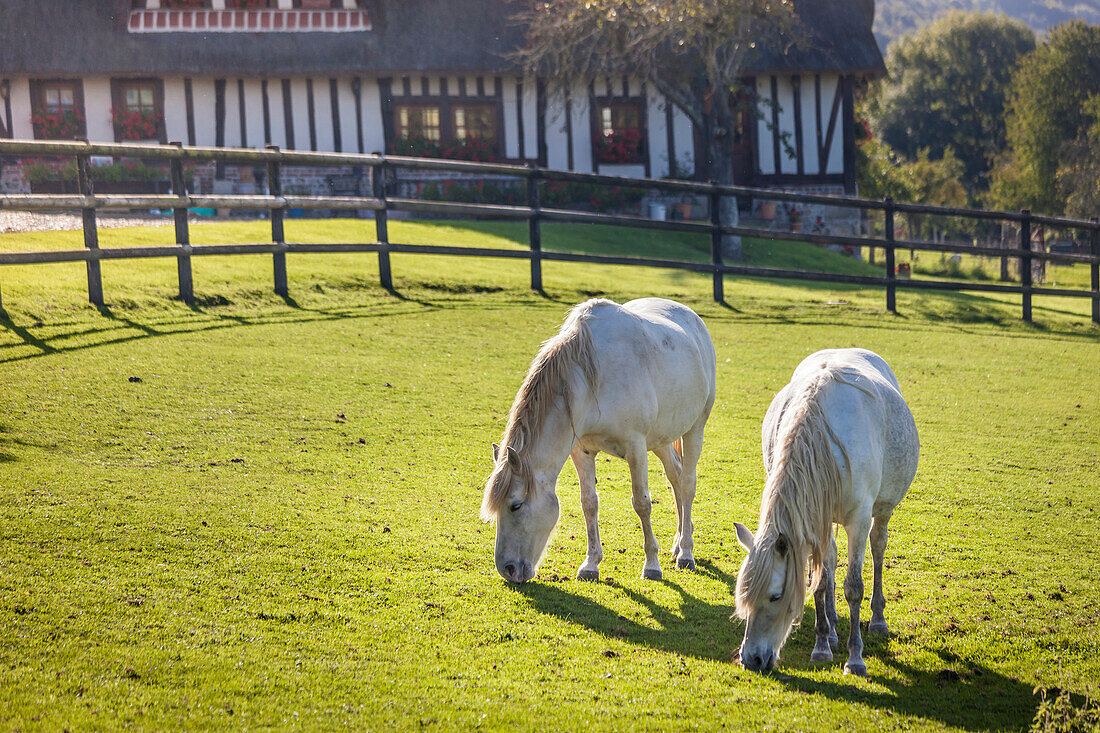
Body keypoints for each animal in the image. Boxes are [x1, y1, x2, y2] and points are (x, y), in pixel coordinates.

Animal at [477, 297, 717, 581]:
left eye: (515, 505)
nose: (507, 569)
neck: (590, 380)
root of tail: (693, 318)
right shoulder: (582, 450)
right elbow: (589, 503)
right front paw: (590, 564)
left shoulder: (636, 448)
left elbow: (642, 503)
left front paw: (651, 565)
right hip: (661, 439)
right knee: (676, 477)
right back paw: (678, 542)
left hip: (695, 429)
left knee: (688, 483)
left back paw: (686, 553)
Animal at [734, 347, 924, 673]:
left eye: (775, 596)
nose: (751, 659)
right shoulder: (812, 518)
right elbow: (820, 582)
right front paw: (822, 645)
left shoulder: (859, 520)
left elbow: (854, 587)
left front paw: (855, 658)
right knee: (831, 561)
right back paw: (833, 628)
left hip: (882, 511)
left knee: (878, 547)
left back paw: (877, 619)